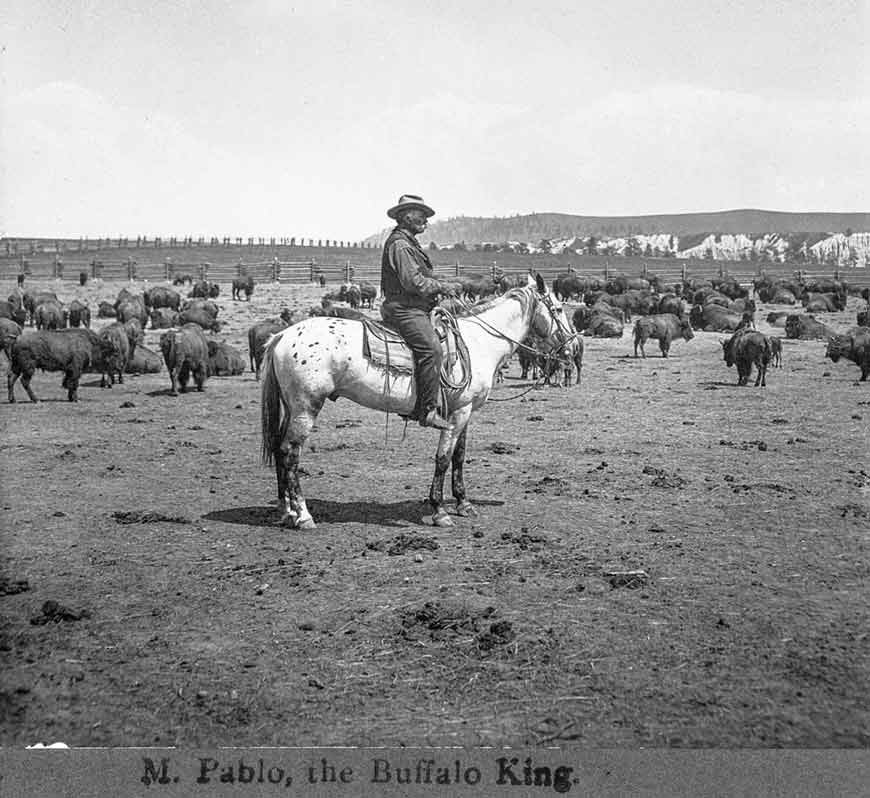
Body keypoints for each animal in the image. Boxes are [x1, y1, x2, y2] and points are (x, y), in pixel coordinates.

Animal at [262, 276, 576, 532]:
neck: (479, 343)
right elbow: (443, 458)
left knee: (278, 448)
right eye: (559, 309)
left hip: (291, 408)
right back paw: (303, 515)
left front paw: (463, 503)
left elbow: (459, 456)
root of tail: (283, 335)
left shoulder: (465, 412)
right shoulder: (457, 415)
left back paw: (286, 511)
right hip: (306, 408)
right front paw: (439, 511)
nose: (572, 345)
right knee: (290, 453)